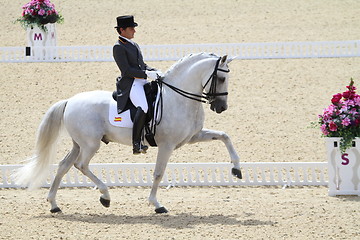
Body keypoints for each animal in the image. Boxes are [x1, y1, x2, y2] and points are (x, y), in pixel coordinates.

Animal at [13, 52, 242, 214]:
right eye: (221, 78)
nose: (221, 107)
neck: (178, 98)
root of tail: (70, 101)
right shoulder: (167, 145)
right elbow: (158, 173)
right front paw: (156, 204)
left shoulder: (193, 137)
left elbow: (225, 136)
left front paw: (236, 170)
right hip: (90, 144)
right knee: (81, 165)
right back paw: (105, 196)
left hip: (78, 144)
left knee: (63, 166)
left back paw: (54, 205)